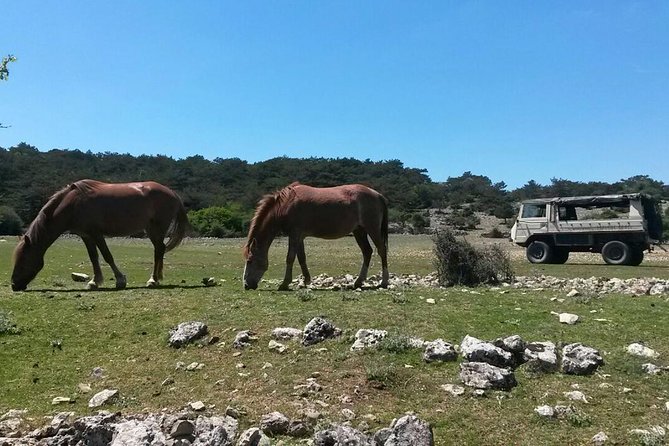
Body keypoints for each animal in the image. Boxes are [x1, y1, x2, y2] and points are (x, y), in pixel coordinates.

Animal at [11, 179, 188, 290]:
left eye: (23, 260)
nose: (14, 285)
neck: (73, 204)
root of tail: (172, 193)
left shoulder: (96, 233)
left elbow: (107, 256)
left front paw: (120, 280)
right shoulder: (86, 236)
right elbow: (94, 258)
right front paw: (94, 282)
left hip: (157, 229)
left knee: (158, 250)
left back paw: (152, 280)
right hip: (151, 229)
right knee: (160, 249)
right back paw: (157, 278)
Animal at [241, 182, 386, 290]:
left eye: (250, 260)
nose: (246, 285)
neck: (286, 205)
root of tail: (377, 194)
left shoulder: (294, 234)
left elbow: (290, 258)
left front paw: (285, 283)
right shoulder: (299, 237)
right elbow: (301, 258)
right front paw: (306, 281)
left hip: (372, 229)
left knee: (381, 250)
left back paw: (384, 282)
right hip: (359, 231)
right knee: (367, 252)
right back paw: (358, 282)